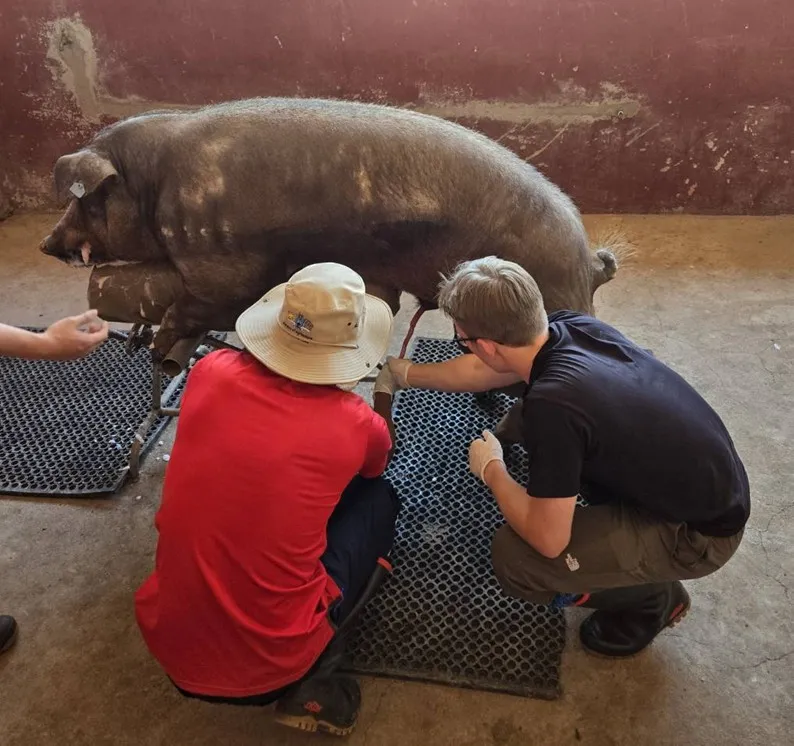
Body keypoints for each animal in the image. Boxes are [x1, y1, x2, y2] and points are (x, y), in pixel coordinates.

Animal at [40, 96, 620, 358]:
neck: (154, 186)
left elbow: (203, 303)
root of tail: (590, 262)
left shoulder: (220, 263)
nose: (47, 243)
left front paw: (158, 347)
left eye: (86, 202)